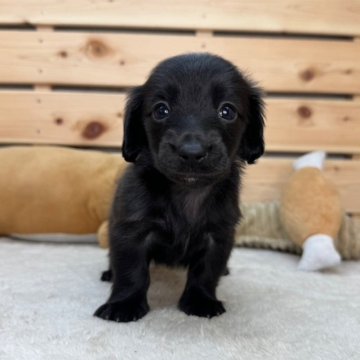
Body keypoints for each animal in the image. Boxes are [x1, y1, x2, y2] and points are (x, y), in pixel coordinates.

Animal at [95, 54, 264, 324]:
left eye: (227, 111)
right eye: (161, 110)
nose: (192, 151)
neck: (187, 192)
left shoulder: (218, 235)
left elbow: (206, 272)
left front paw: (200, 301)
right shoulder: (131, 231)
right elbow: (131, 271)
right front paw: (124, 304)